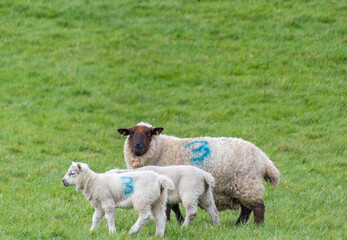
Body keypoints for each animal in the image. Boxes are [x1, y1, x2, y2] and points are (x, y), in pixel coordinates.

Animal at [118, 122, 282, 225]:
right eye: (130, 133)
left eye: (149, 133)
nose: (137, 146)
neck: (161, 150)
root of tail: (263, 157)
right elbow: (175, 206)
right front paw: (178, 221)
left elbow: (169, 207)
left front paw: (169, 221)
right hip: (240, 186)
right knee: (246, 209)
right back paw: (238, 225)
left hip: (248, 183)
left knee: (258, 207)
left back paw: (258, 226)